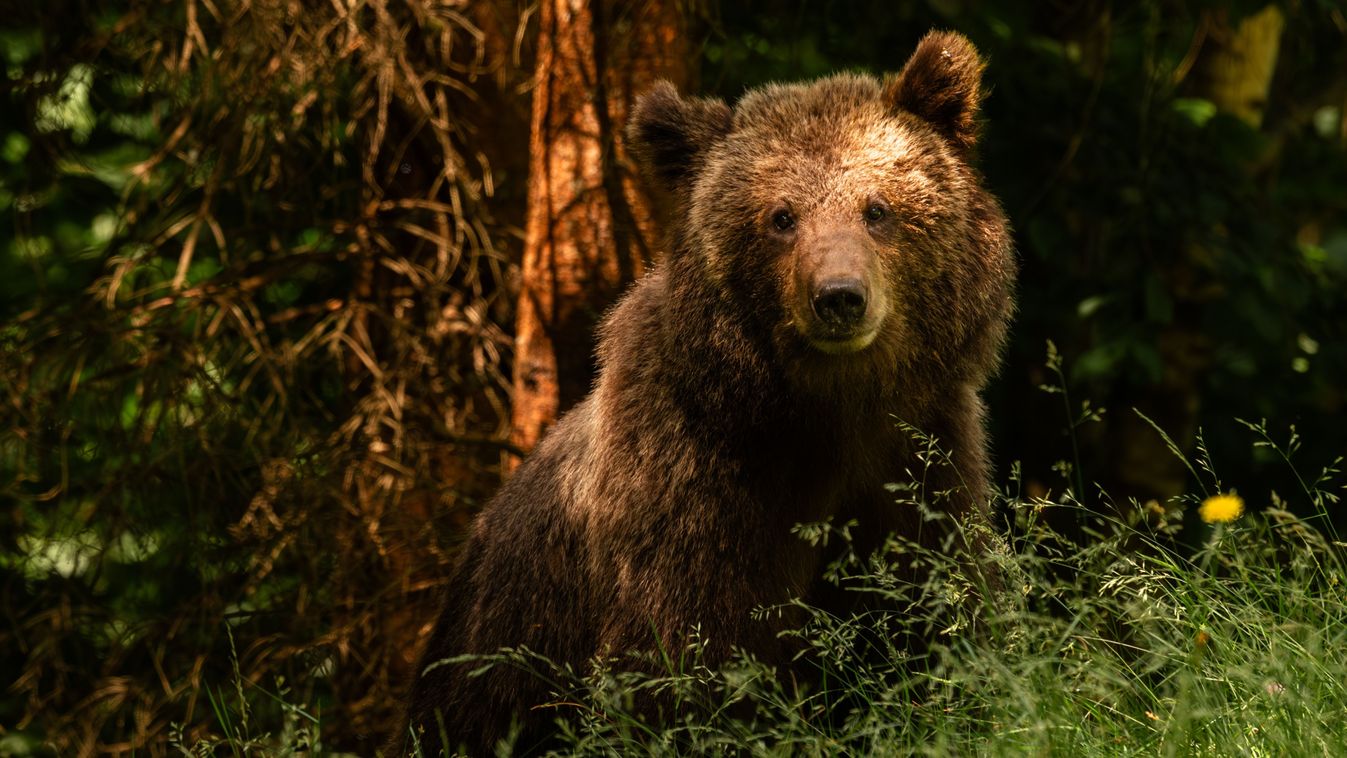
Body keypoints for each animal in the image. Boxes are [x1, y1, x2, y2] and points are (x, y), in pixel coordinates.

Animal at [393, 31, 1012, 758]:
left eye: (877, 208)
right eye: (781, 217)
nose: (838, 298)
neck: (829, 410)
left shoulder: (921, 451)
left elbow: (935, 613)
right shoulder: (694, 480)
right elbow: (686, 662)